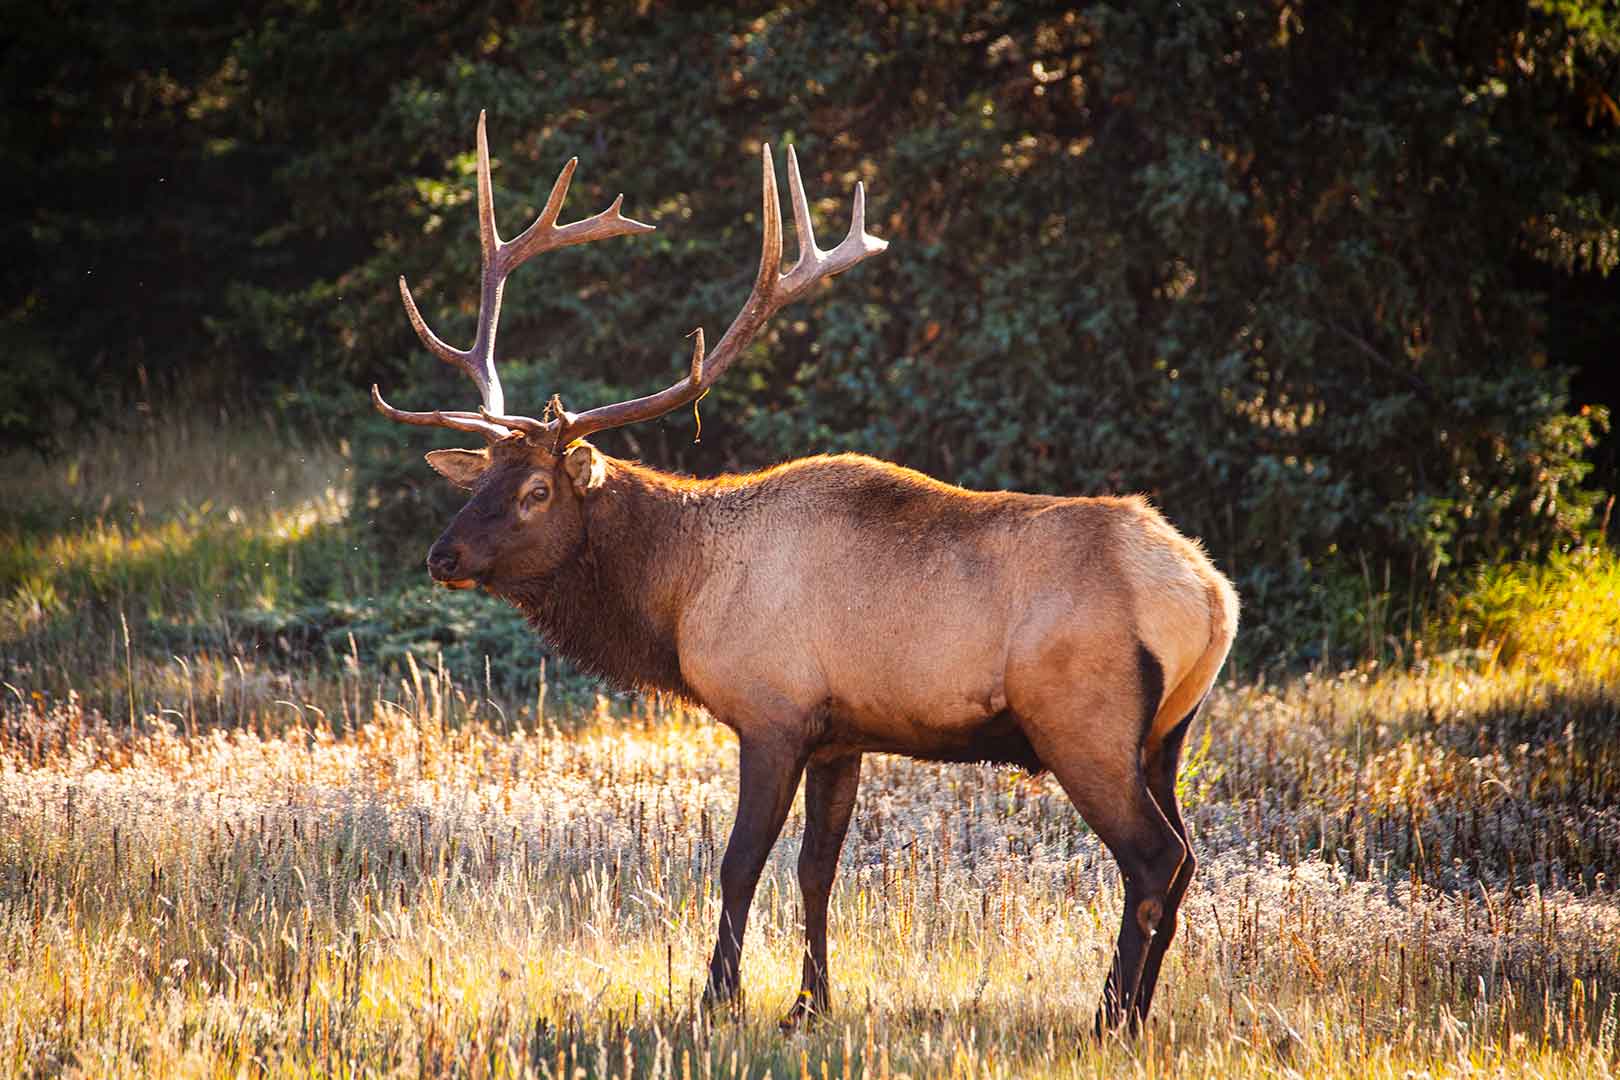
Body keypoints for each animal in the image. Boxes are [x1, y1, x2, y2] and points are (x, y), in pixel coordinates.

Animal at [375, 114, 1237, 1036]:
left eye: (536, 491)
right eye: (479, 482)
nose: (442, 556)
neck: (679, 597)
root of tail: (1212, 596)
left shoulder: (771, 712)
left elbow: (739, 863)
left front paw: (717, 998)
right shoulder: (843, 732)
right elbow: (818, 870)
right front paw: (808, 1002)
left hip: (1083, 721)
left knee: (1153, 859)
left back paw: (1113, 1014)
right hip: (1165, 734)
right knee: (1184, 860)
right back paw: (1139, 1009)